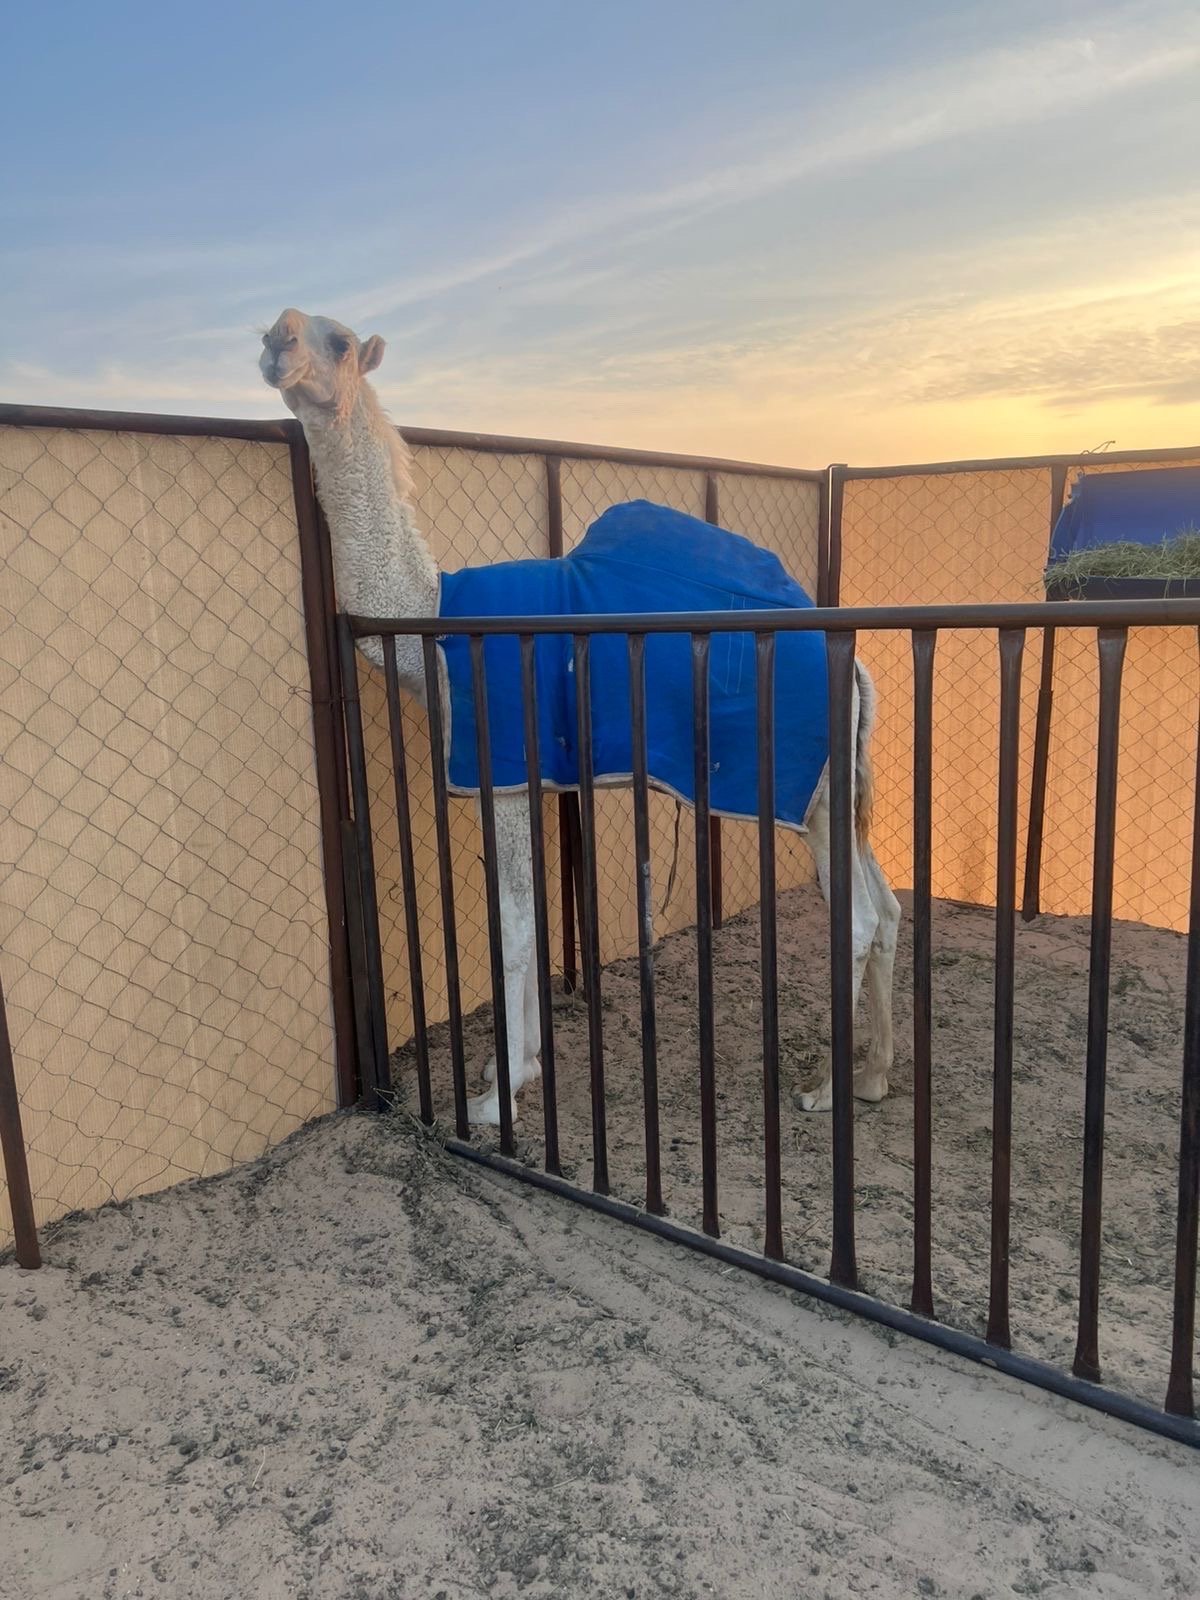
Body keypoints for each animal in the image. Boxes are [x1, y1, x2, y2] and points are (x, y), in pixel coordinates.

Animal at [260, 308, 900, 1127]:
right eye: (281, 327)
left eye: (337, 340)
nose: (277, 343)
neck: (433, 614)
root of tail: (858, 672)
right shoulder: (532, 773)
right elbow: (532, 914)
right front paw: (524, 1066)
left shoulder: (496, 766)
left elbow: (510, 927)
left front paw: (495, 1097)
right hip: (837, 788)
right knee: (887, 907)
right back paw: (875, 1076)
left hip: (805, 791)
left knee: (859, 918)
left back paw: (822, 1089)